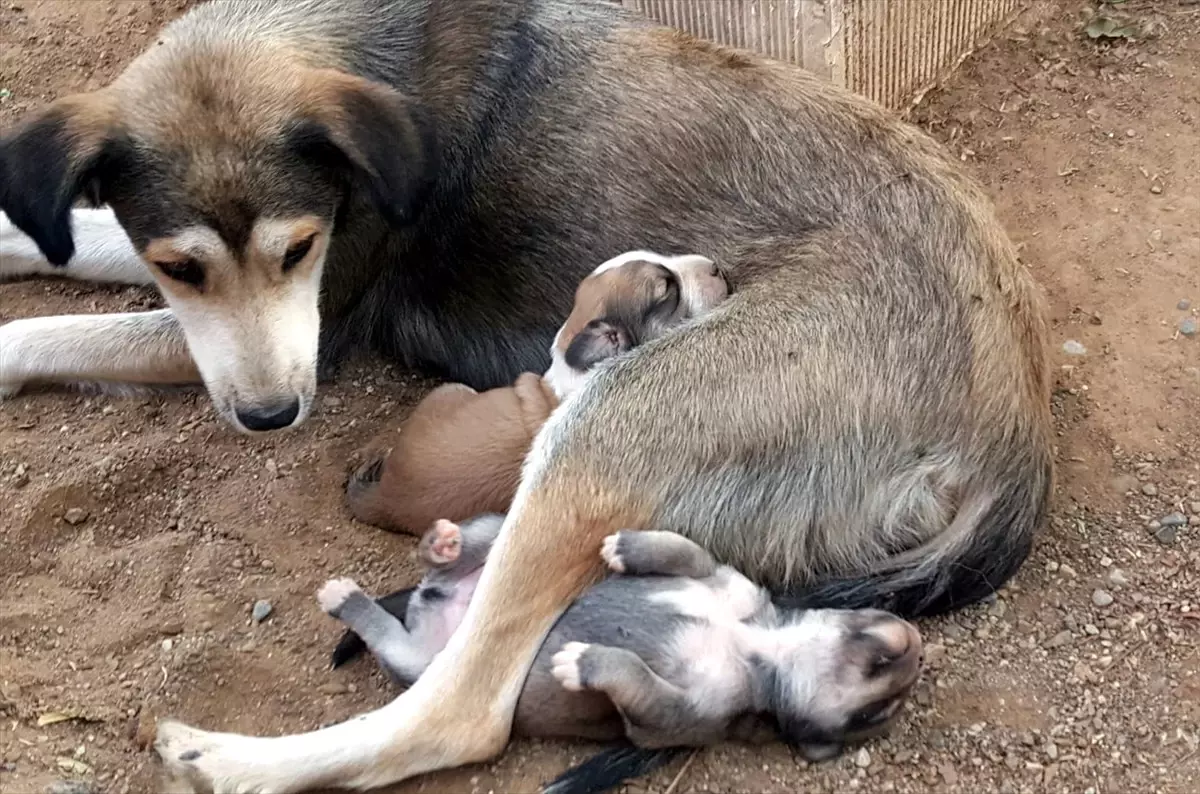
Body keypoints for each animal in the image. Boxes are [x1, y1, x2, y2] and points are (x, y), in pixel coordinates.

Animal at [314, 515, 921, 782]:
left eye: (875, 713)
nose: (914, 642)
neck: (759, 643)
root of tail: (436, 601)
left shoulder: (676, 717)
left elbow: (636, 678)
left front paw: (585, 662)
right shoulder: (722, 577)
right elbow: (685, 550)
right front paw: (627, 548)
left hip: (420, 660)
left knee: (389, 635)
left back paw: (347, 597)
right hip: (504, 541)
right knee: (469, 548)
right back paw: (444, 544)